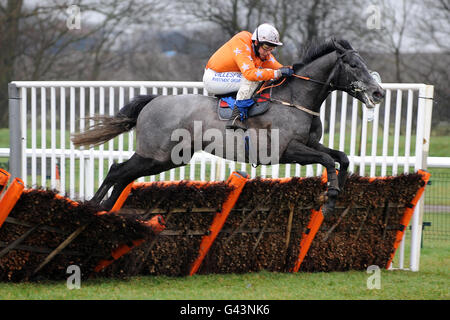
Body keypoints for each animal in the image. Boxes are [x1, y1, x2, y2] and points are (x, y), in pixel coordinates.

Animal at [72, 38, 384, 214]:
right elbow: (327, 161)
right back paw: (93, 207)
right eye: (353, 65)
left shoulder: (310, 143)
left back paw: (106, 210)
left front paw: (340, 189)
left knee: (124, 176)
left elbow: (341, 157)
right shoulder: (289, 151)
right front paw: (329, 198)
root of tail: (154, 100)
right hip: (156, 154)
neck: (295, 99)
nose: (379, 92)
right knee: (117, 171)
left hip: (168, 159)